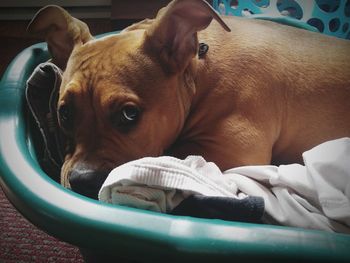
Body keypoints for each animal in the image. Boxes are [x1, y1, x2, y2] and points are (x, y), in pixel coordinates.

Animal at [27, 0, 350, 198]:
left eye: (129, 114)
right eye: (65, 113)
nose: (82, 180)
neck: (197, 70)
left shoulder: (233, 153)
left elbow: (172, 155)